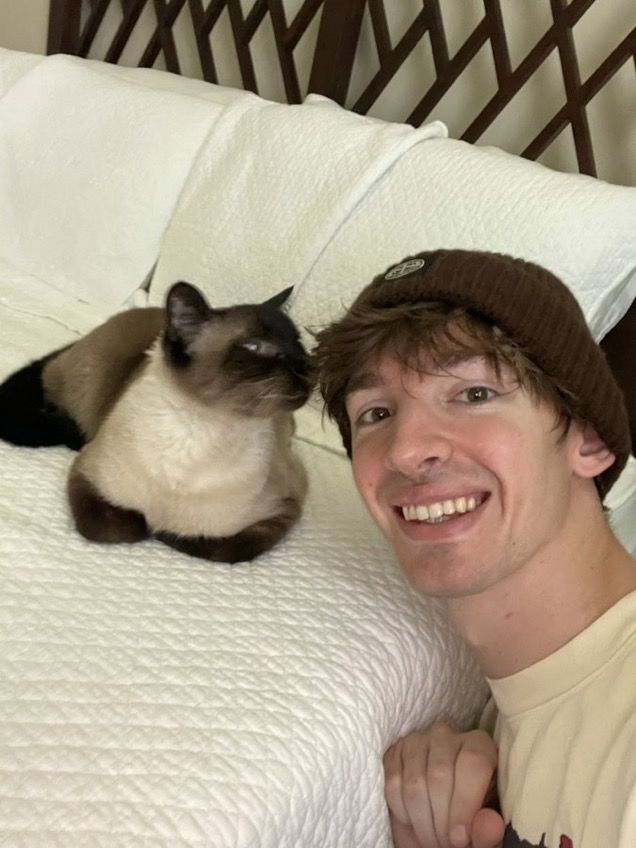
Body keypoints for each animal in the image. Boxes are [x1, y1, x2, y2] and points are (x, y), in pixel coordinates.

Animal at [0, 284, 310, 564]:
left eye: (299, 345)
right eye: (256, 347)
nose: (308, 369)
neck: (199, 431)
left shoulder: (285, 508)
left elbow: (223, 547)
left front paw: (165, 532)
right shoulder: (85, 473)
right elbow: (111, 527)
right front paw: (145, 524)